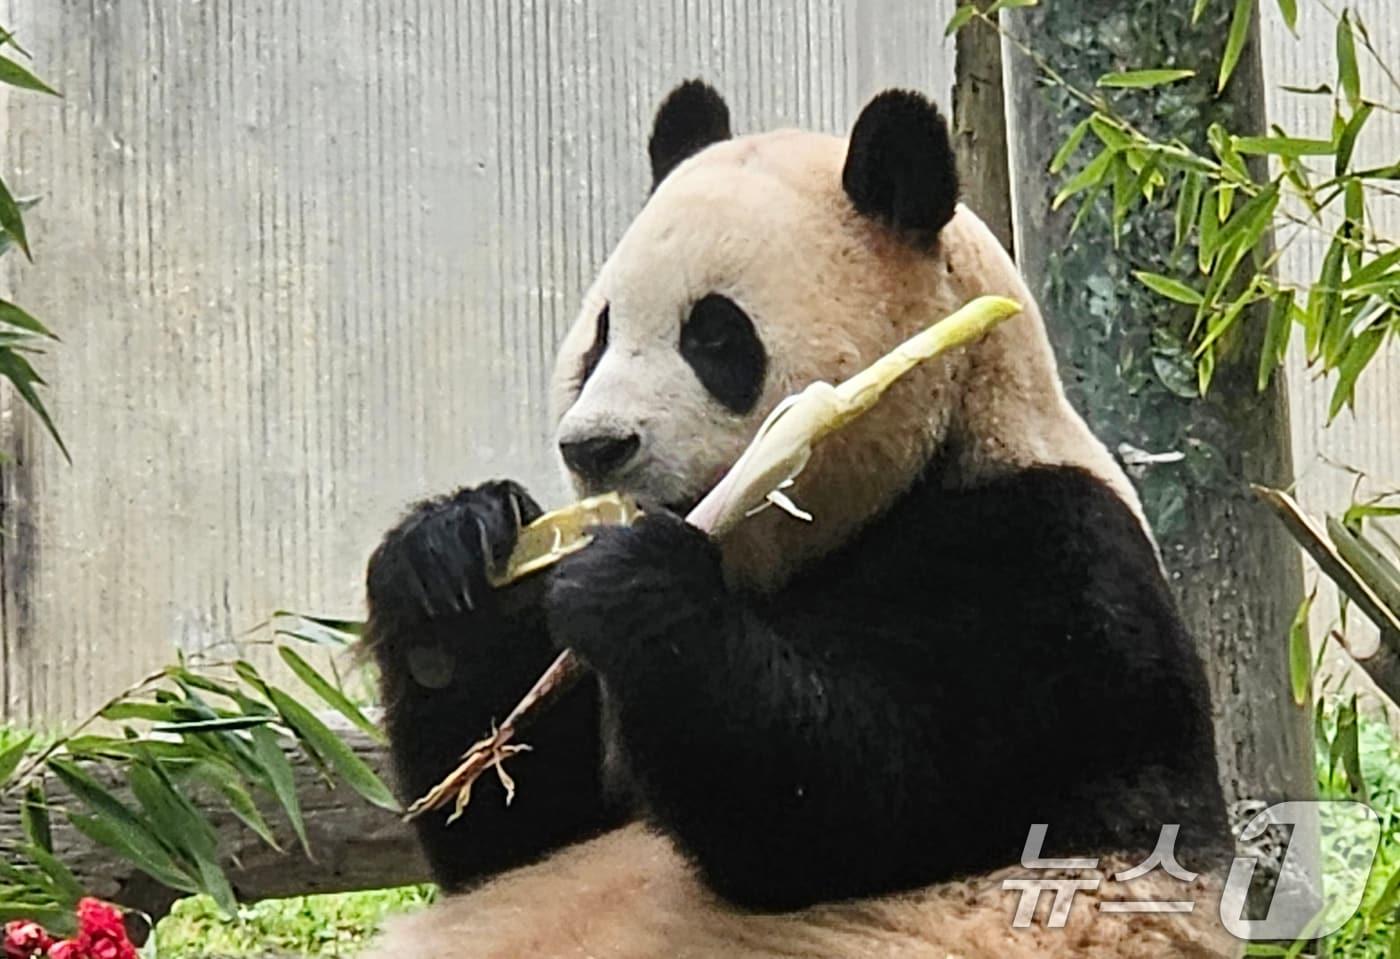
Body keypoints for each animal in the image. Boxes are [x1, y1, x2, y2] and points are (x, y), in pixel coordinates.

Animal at [361, 82, 1237, 957]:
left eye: (714, 335)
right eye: (600, 336)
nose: (596, 445)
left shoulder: (1046, 569)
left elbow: (854, 803)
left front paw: (632, 583)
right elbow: (522, 825)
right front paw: (449, 557)